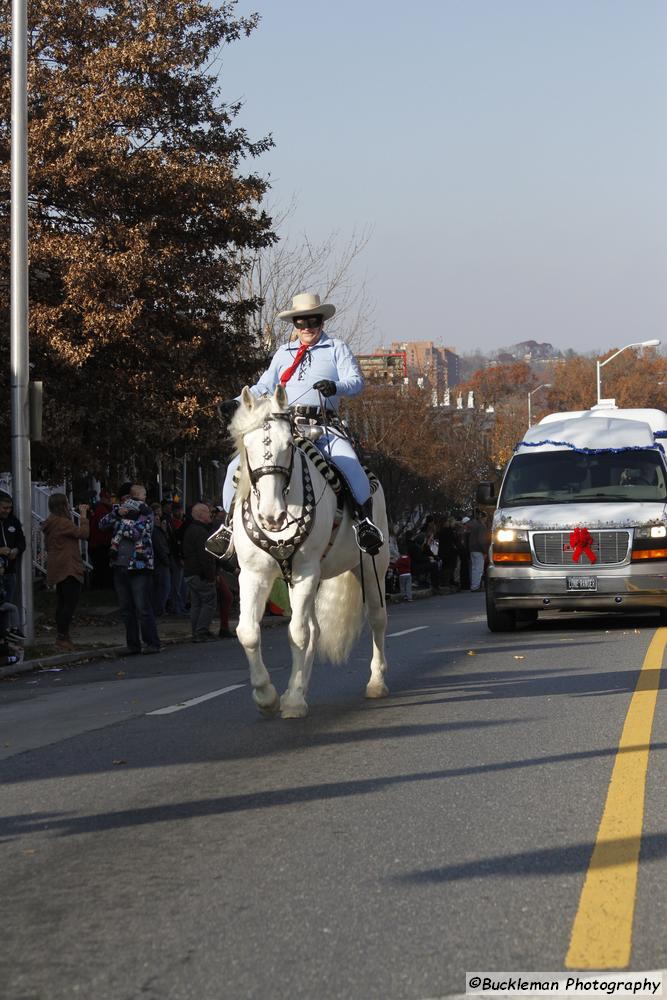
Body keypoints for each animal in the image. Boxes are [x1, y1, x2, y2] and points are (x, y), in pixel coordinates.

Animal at [228, 384, 392, 720]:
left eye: (288, 445)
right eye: (247, 444)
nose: (272, 515)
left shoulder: (305, 571)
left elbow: (298, 634)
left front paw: (290, 700)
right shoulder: (254, 574)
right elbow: (248, 631)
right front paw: (267, 696)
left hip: (372, 567)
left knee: (377, 619)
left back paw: (376, 682)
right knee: (314, 630)